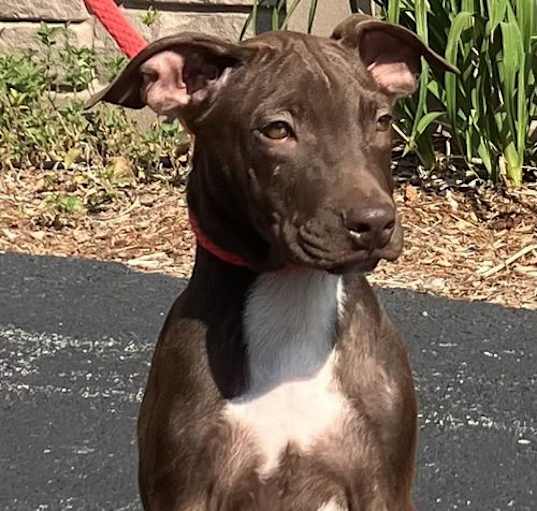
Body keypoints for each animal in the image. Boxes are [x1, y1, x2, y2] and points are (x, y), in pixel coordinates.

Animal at [89, 14, 456, 510]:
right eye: (277, 130)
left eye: (382, 121)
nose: (375, 223)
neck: (291, 296)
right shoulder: (185, 488)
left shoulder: (383, 484)